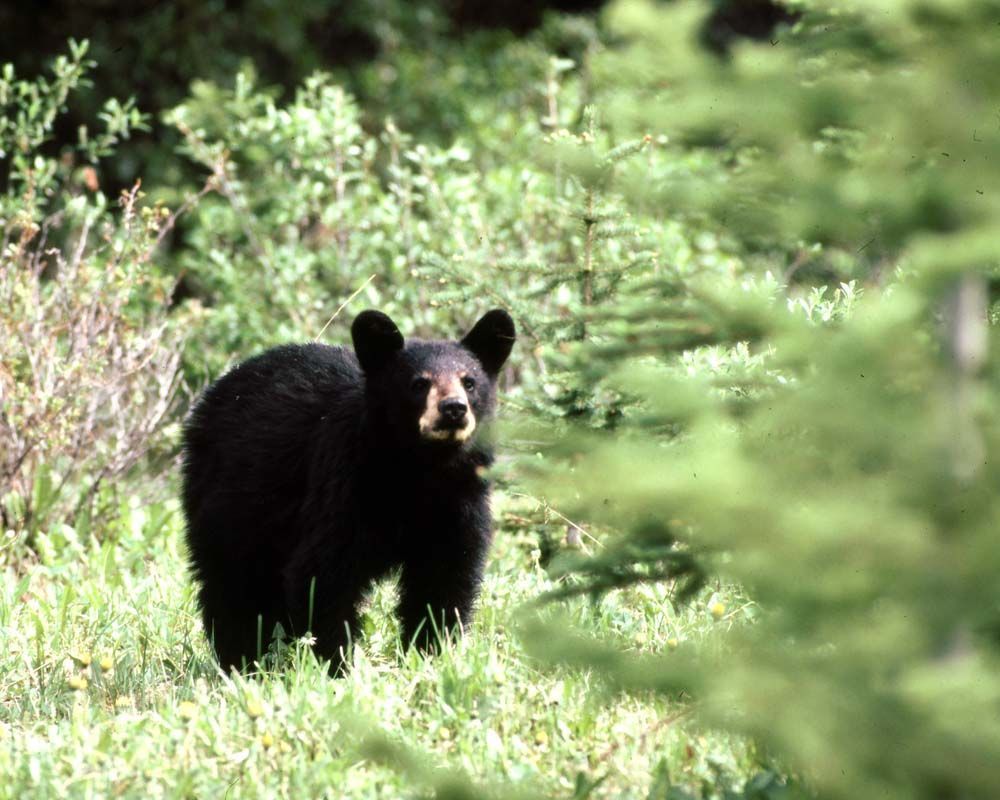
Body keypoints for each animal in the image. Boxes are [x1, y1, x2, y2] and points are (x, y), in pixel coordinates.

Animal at [181, 308, 516, 672]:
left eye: (469, 382)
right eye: (419, 383)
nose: (454, 408)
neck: (419, 471)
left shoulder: (459, 501)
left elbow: (443, 577)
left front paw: (431, 652)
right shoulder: (345, 486)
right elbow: (325, 574)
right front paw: (335, 664)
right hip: (231, 498)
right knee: (233, 581)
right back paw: (242, 658)